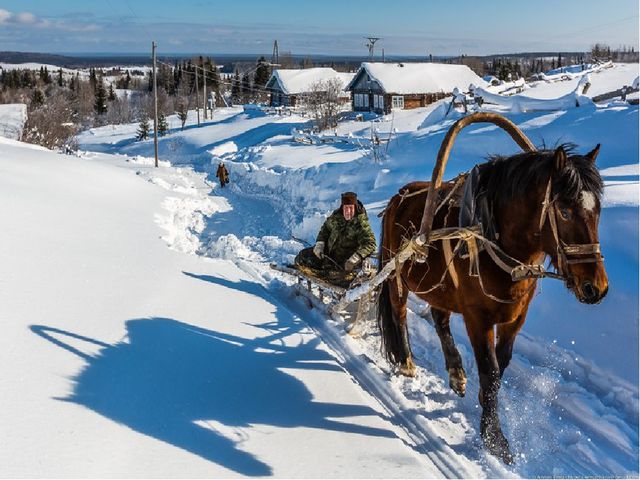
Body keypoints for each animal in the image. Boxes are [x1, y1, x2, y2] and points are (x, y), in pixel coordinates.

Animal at [378, 113, 608, 464]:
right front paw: (494, 439)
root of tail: (397, 198)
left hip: (438, 287)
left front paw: (485, 411)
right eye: (565, 211)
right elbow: (490, 372)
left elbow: (501, 368)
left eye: (597, 211)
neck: (492, 235)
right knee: (399, 312)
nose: (596, 287)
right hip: (397, 277)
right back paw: (405, 361)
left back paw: (456, 372)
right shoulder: (478, 318)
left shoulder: (515, 317)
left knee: (440, 319)